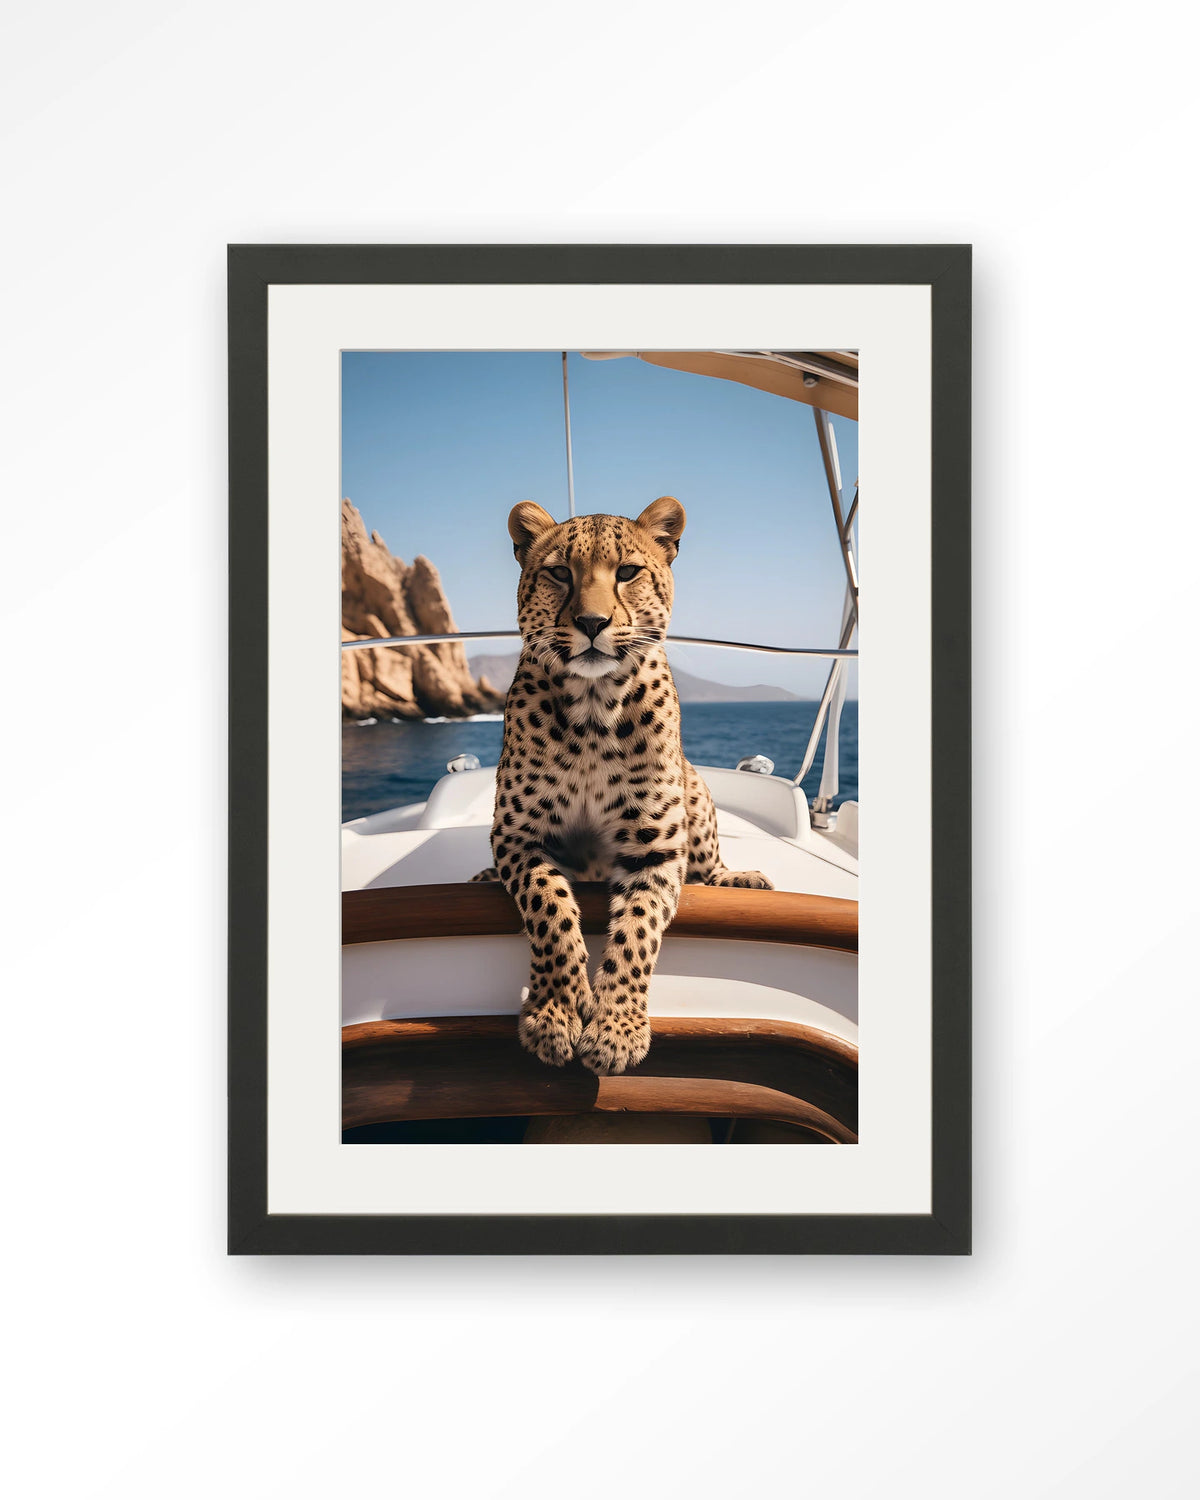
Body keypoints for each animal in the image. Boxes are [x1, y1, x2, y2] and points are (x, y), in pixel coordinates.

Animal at [470, 496, 772, 1077]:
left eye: (628, 572)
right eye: (560, 573)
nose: (592, 622)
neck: (593, 709)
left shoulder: (655, 848)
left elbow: (637, 932)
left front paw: (616, 1030)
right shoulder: (517, 835)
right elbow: (550, 908)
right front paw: (557, 1012)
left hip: (696, 790)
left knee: (708, 865)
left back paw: (738, 879)